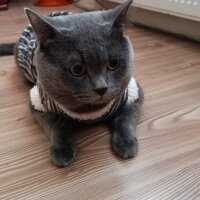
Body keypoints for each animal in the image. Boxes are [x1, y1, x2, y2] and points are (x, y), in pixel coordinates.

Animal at [0, 0, 144, 167]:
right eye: (77, 69)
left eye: (113, 64)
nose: (102, 88)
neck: (90, 112)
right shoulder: (38, 103)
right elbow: (57, 126)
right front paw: (62, 151)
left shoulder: (134, 93)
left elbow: (125, 118)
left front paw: (126, 142)